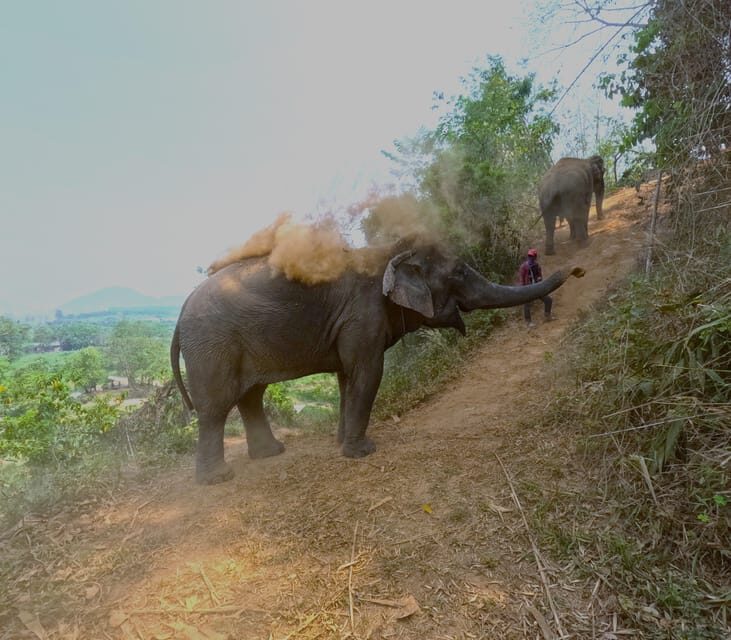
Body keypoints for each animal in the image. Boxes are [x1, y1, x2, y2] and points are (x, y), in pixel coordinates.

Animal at [171, 238, 584, 484]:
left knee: (251, 396)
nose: (579, 269)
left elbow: (347, 377)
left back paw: (271, 454)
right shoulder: (362, 315)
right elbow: (368, 372)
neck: (391, 252)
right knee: (217, 407)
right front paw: (361, 452)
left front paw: (342, 442)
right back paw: (218, 478)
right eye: (459, 272)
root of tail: (180, 311)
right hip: (212, 345)